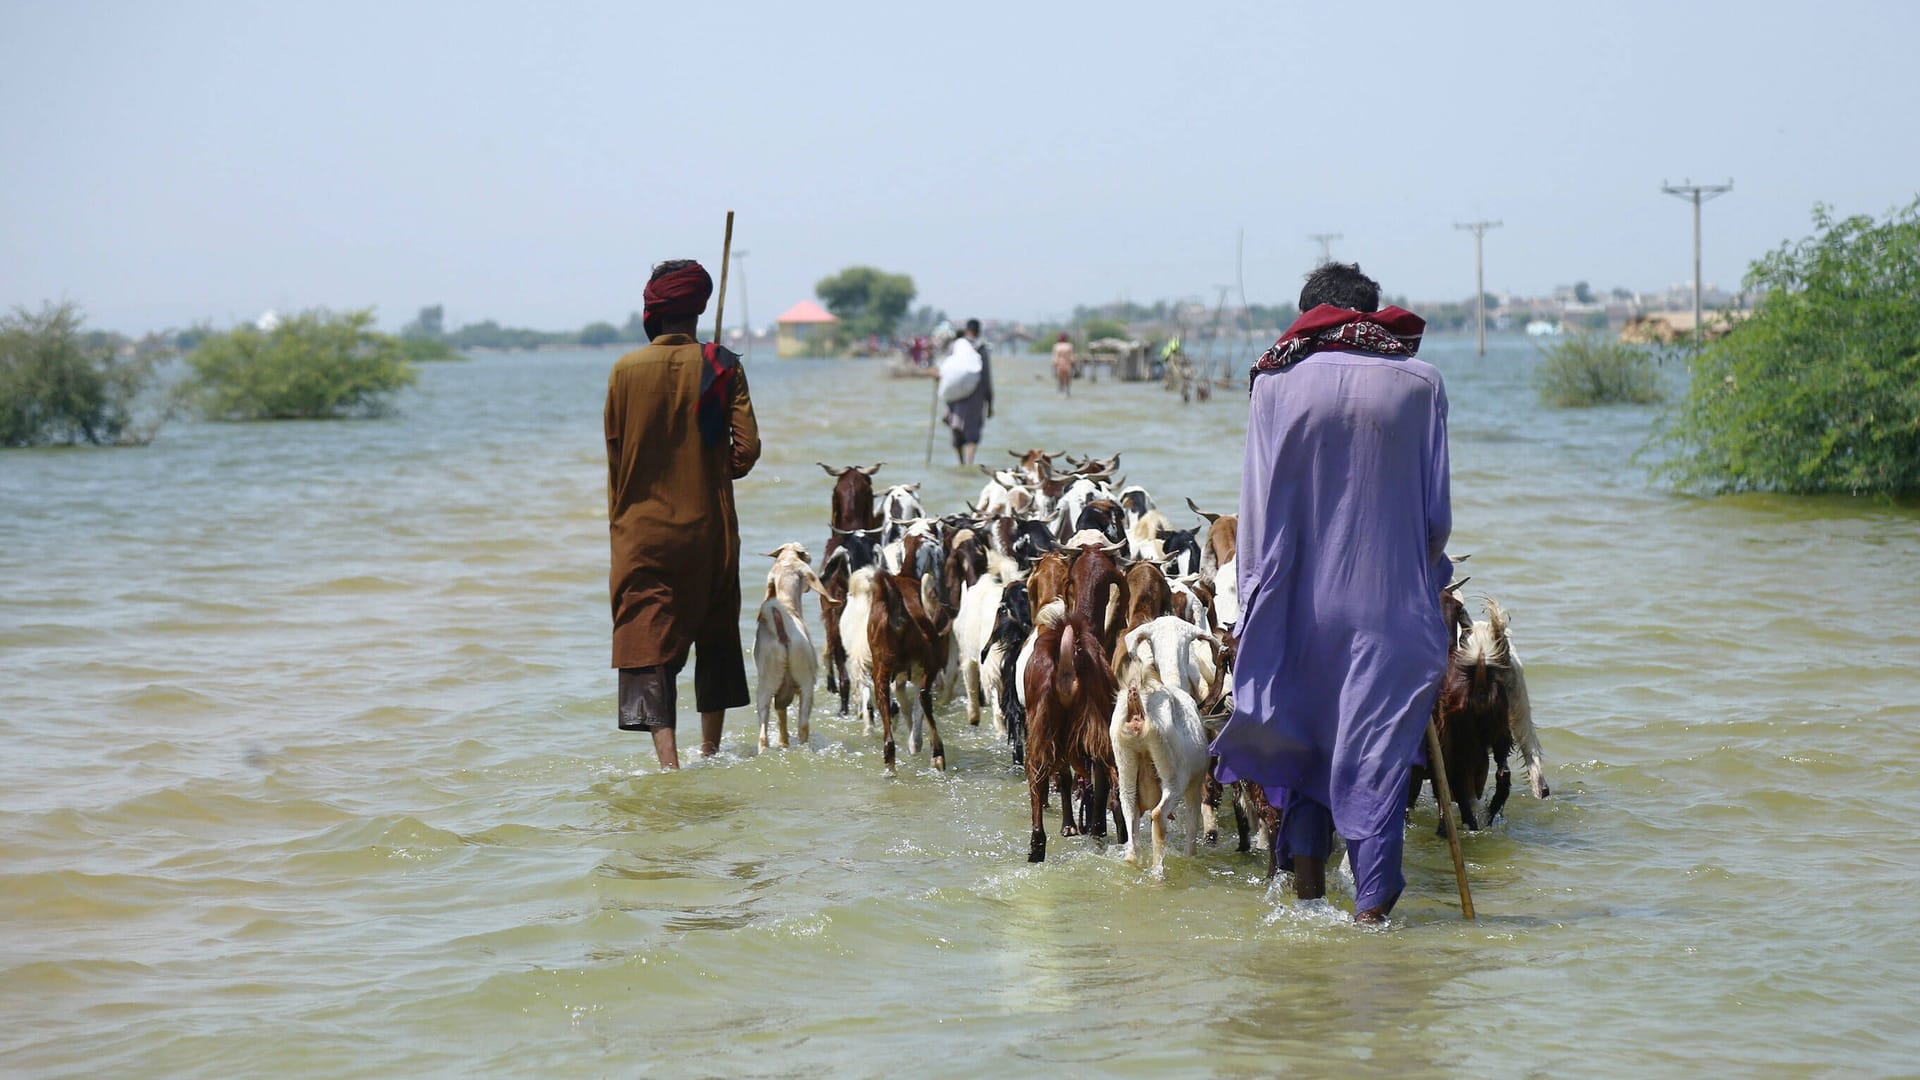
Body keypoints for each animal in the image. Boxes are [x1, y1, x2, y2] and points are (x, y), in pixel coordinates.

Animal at [752, 541, 829, 745]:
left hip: (766, 684)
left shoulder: (781, 694)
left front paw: (784, 744)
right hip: (806, 683)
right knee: (803, 726)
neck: (788, 605)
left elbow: (782, 720)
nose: (808, 555)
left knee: (763, 735)